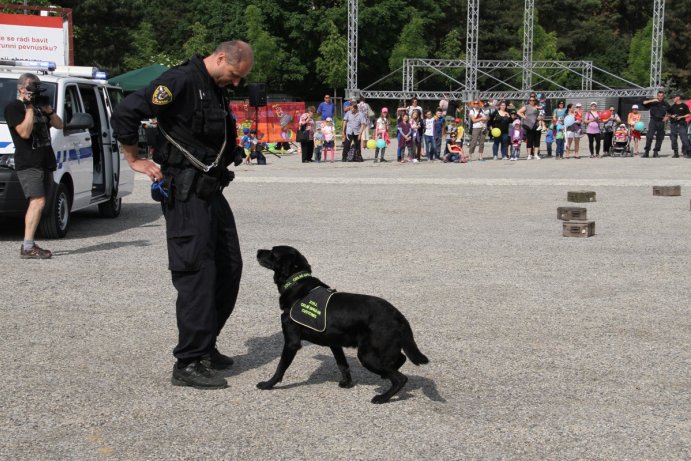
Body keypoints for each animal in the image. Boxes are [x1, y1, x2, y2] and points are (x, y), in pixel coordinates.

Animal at [256, 244, 430, 402]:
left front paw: (268, 384)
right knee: (400, 359)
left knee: (400, 378)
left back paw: (382, 397)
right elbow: (342, 364)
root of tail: (398, 315)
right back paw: (385, 375)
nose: (257, 251)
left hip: (367, 355)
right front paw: (347, 383)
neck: (297, 284)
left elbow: (280, 367)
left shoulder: (292, 342)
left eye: (273, 252)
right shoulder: (334, 342)